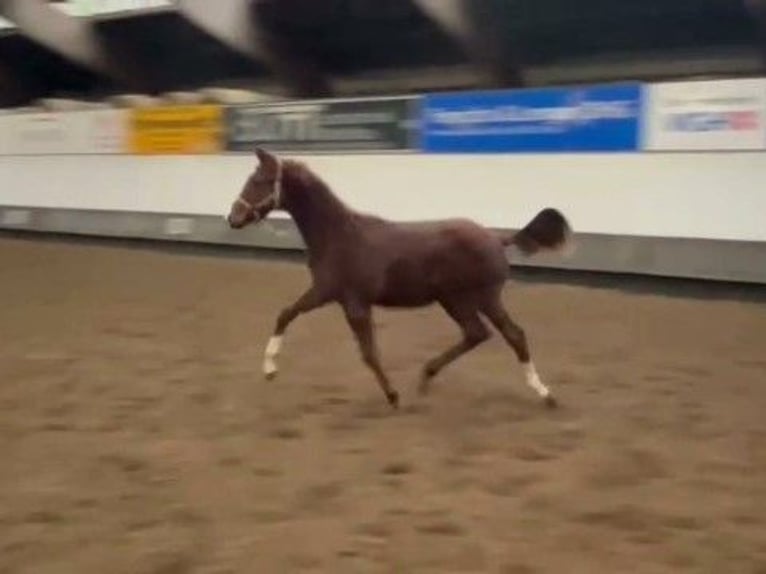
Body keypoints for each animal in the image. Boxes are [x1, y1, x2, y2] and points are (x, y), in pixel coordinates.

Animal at [226, 147, 573, 410]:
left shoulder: (350, 302)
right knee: (482, 334)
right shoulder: (326, 293)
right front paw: (269, 370)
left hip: (477, 297)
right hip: (459, 300)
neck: (340, 235)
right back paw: (429, 376)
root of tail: (497, 238)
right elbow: (286, 313)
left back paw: (543, 393)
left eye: (259, 180)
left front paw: (393, 396)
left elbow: (368, 353)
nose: (233, 218)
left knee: (508, 334)